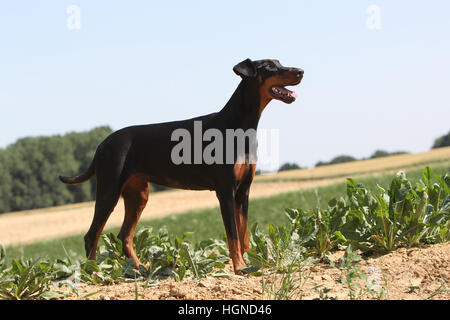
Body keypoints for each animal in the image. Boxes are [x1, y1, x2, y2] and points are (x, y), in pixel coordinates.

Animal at [59, 58, 304, 274]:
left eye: (279, 62)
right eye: (269, 66)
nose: (301, 71)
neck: (241, 125)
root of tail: (102, 144)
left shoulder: (243, 191)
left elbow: (243, 235)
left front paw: (250, 265)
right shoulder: (225, 191)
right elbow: (233, 236)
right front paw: (240, 268)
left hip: (138, 194)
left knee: (124, 236)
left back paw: (139, 269)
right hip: (109, 191)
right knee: (92, 235)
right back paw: (93, 273)